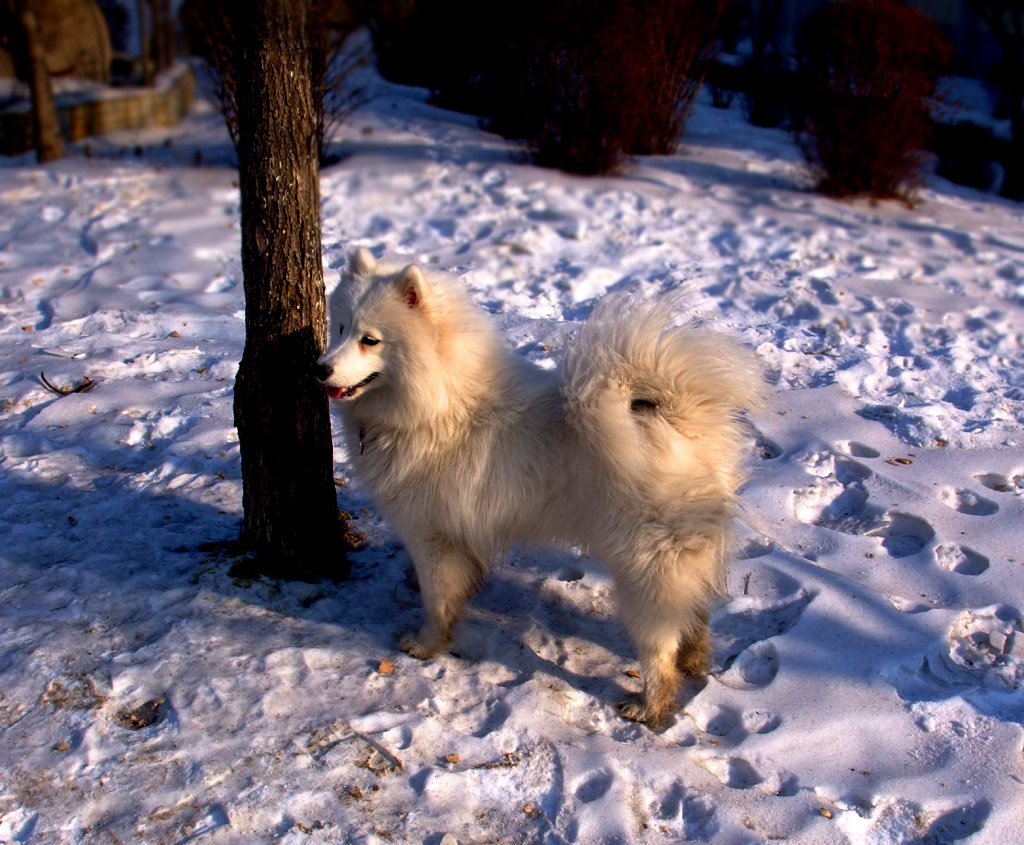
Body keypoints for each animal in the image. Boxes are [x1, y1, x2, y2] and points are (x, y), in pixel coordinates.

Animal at [315, 248, 765, 725]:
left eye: (371, 340)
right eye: (340, 327)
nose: (319, 368)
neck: (438, 403)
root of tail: (683, 422)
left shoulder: (433, 537)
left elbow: (437, 603)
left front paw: (424, 646)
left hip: (646, 568)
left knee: (660, 647)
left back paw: (650, 705)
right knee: (697, 615)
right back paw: (695, 660)